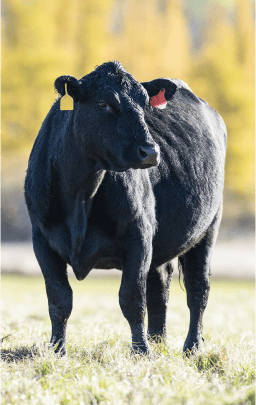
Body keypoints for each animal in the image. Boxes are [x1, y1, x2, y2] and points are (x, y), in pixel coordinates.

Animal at [25, 61, 227, 356]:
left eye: (144, 105)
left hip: (208, 228)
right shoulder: (41, 239)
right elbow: (59, 298)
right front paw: (57, 349)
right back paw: (158, 340)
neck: (81, 197)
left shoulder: (138, 235)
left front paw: (141, 351)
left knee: (197, 288)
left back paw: (191, 347)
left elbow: (131, 298)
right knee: (160, 287)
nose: (151, 151)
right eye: (103, 104)